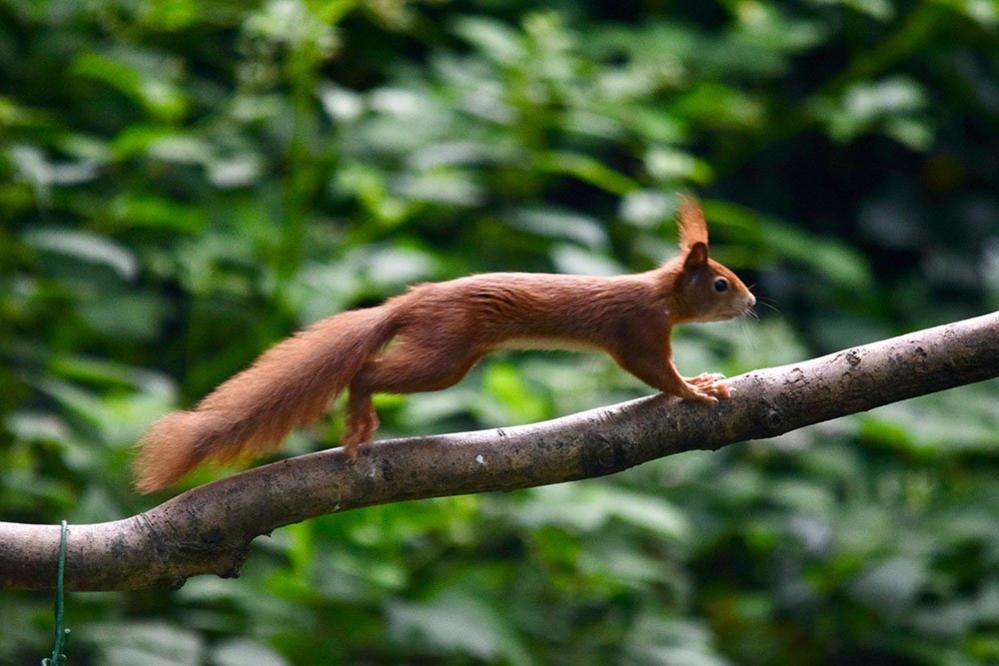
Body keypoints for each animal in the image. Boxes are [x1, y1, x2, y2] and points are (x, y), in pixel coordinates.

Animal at [135, 195, 756, 490]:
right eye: (721, 283)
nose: (752, 302)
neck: (662, 294)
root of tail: (409, 303)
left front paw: (700, 382)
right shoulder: (637, 330)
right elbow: (654, 371)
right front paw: (695, 390)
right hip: (445, 355)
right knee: (367, 373)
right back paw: (358, 422)